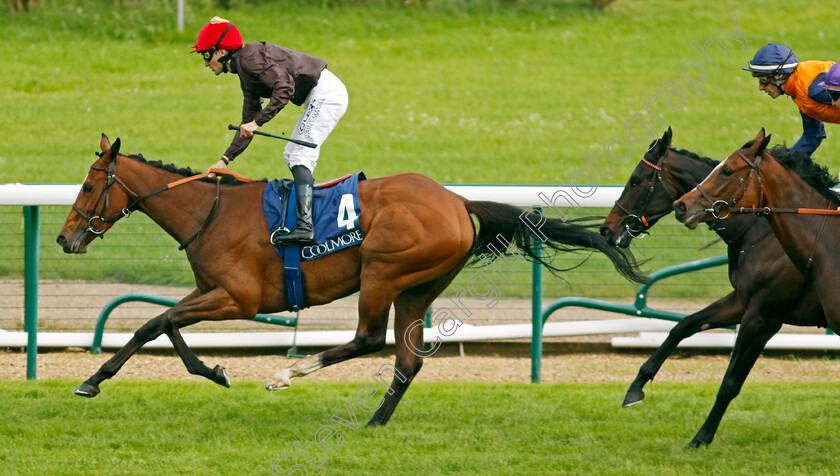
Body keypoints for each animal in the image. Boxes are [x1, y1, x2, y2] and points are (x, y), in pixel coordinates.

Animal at [55, 135, 644, 428]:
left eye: (88, 186)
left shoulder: (238, 298)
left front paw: (94, 380)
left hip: (384, 272)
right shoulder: (212, 292)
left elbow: (155, 321)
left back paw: (288, 373)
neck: (210, 211)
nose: (65, 238)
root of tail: (458, 200)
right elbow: (162, 323)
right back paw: (375, 423)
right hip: (418, 289)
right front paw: (213, 371)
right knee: (407, 360)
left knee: (369, 339)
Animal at [600, 127, 824, 446]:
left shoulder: (765, 316)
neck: (758, 231)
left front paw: (701, 437)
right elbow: (684, 326)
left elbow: (730, 382)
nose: (607, 229)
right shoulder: (742, 301)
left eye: (636, 179)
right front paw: (636, 386)